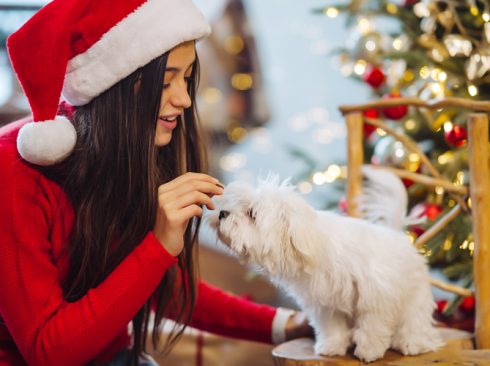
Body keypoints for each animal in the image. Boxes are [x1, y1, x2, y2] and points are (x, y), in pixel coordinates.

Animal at [206, 167, 444, 364]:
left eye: (251, 214)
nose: (222, 213)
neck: (313, 245)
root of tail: (398, 235)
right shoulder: (325, 302)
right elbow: (332, 327)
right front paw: (332, 347)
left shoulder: (376, 297)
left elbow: (372, 326)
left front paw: (369, 351)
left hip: (415, 296)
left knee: (414, 321)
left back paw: (412, 343)